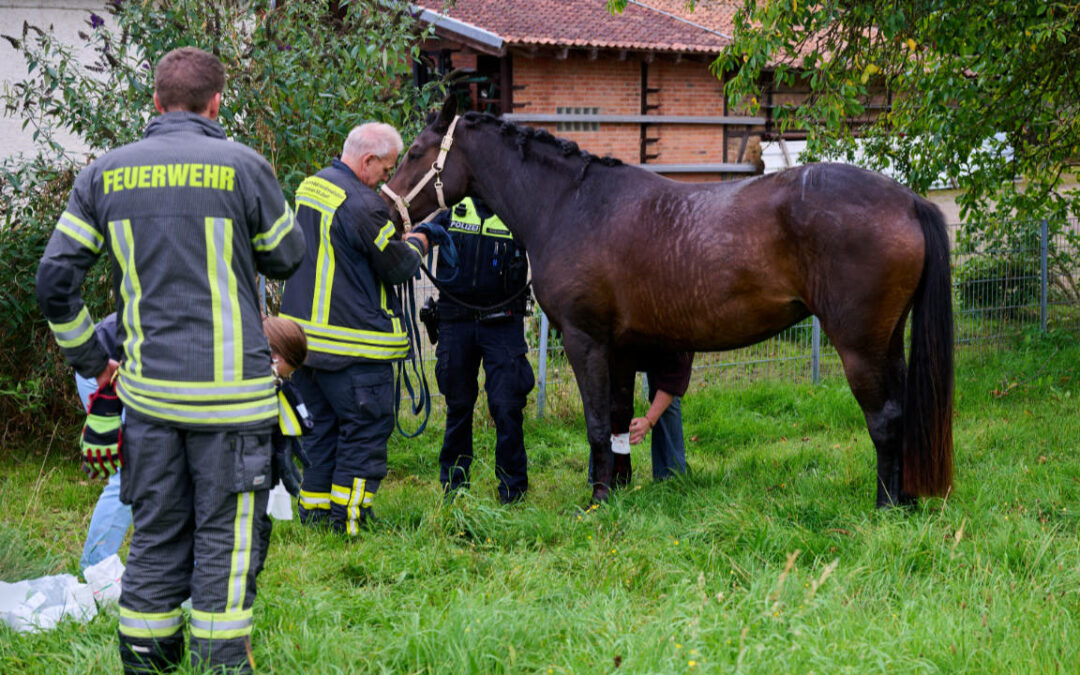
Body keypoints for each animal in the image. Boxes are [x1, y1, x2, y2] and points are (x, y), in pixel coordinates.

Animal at [383, 98, 954, 509]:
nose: (387, 211)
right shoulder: (616, 348)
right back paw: (905, 500)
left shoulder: (585, 340)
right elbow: (616, 419)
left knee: (885, 418)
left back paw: (885, 506)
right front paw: (617, 488)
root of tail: (908, 200)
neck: (570, 204)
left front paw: (598, 501)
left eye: (414, 152)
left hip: (860, 346)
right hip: (889, 342)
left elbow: (596, 423)